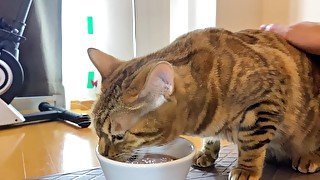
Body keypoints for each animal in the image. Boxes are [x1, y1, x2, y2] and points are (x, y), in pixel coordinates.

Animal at [88, 27, 320, 180]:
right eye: (97, 132)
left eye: (118, 136)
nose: (104, 153)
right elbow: (211, 138)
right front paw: (208, 153)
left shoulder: (264, 103)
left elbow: (251, 143)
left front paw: (246, 169)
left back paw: (309, 157)